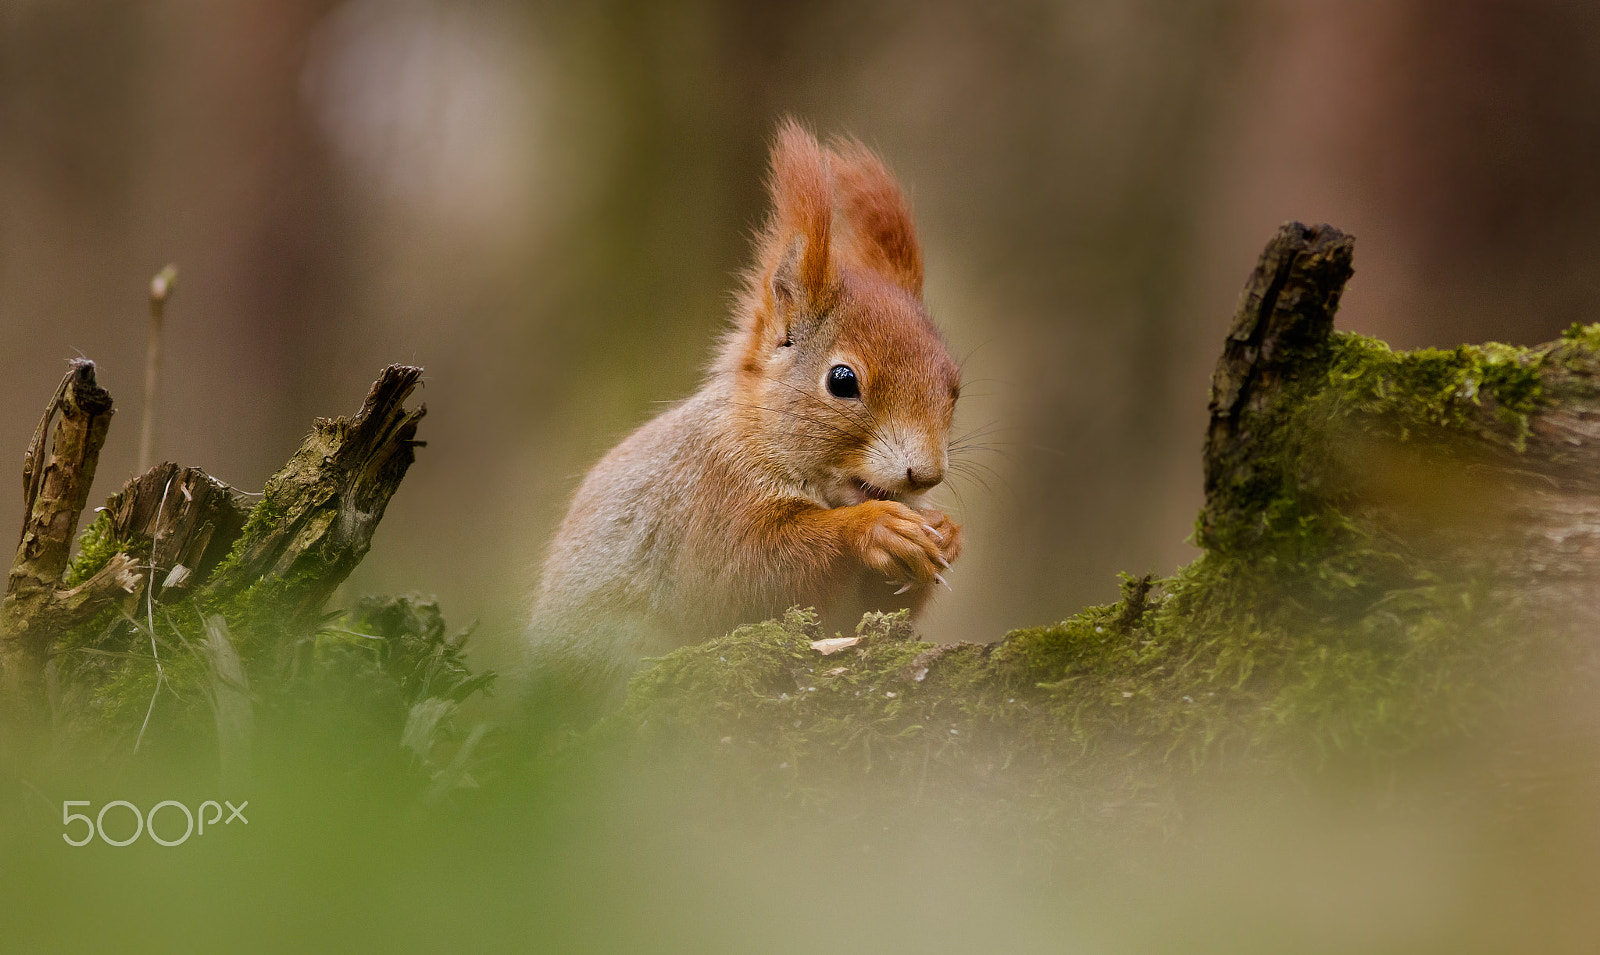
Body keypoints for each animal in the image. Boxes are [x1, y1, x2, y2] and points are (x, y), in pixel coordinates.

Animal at [528, 119, 960, 694]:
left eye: (955, 385)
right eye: (842, 381)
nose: (926, 475)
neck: (759, 434)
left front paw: (948, 534)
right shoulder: (710, 499)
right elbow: (739, 581)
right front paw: (873, 527)